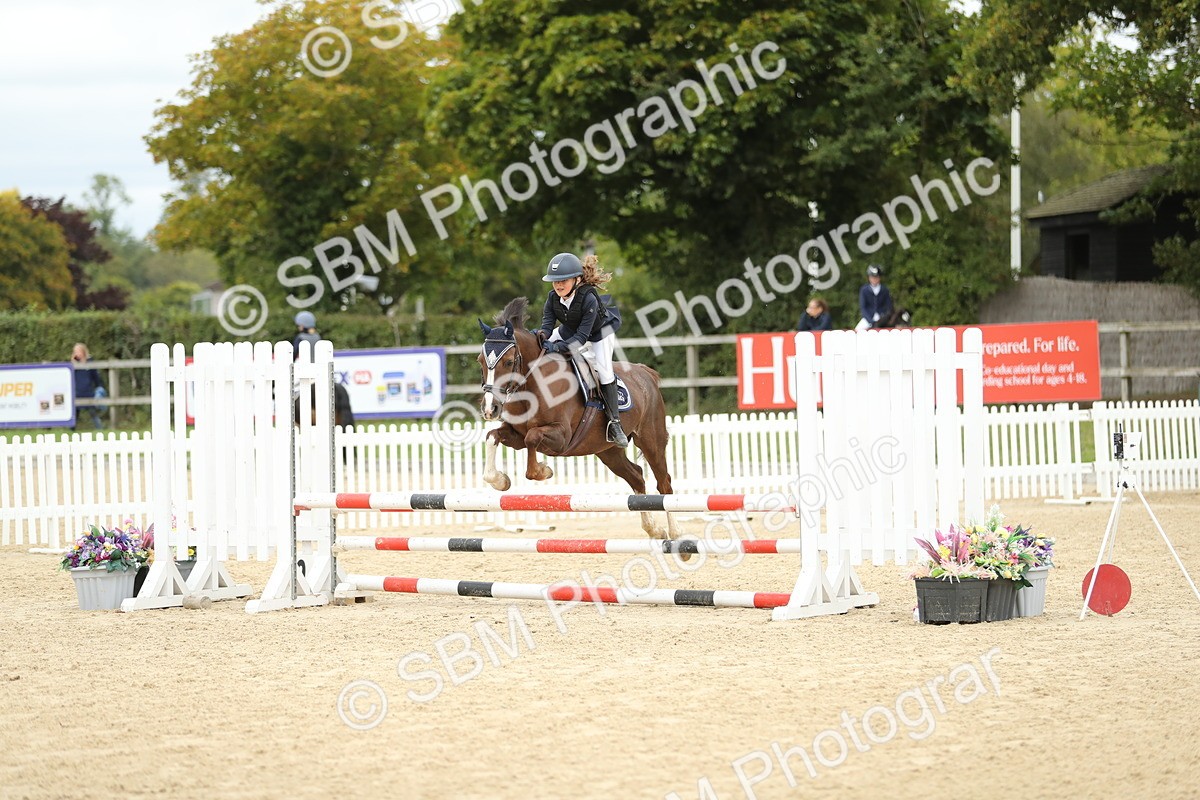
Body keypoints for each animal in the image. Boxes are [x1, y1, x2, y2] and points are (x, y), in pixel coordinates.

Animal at [476, 297, 679, 544]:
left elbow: (532, 438)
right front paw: (500, 480)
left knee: (664, 483)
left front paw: (543, 471)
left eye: (507, 362)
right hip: (607, 451)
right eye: (480, 361)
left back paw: (676, 534)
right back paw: (654, 530)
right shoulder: (515, 434)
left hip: (651, 441)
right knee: (637, 476)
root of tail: (644, 373)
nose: (490, 409)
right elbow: (493, 436)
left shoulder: (561, 436)